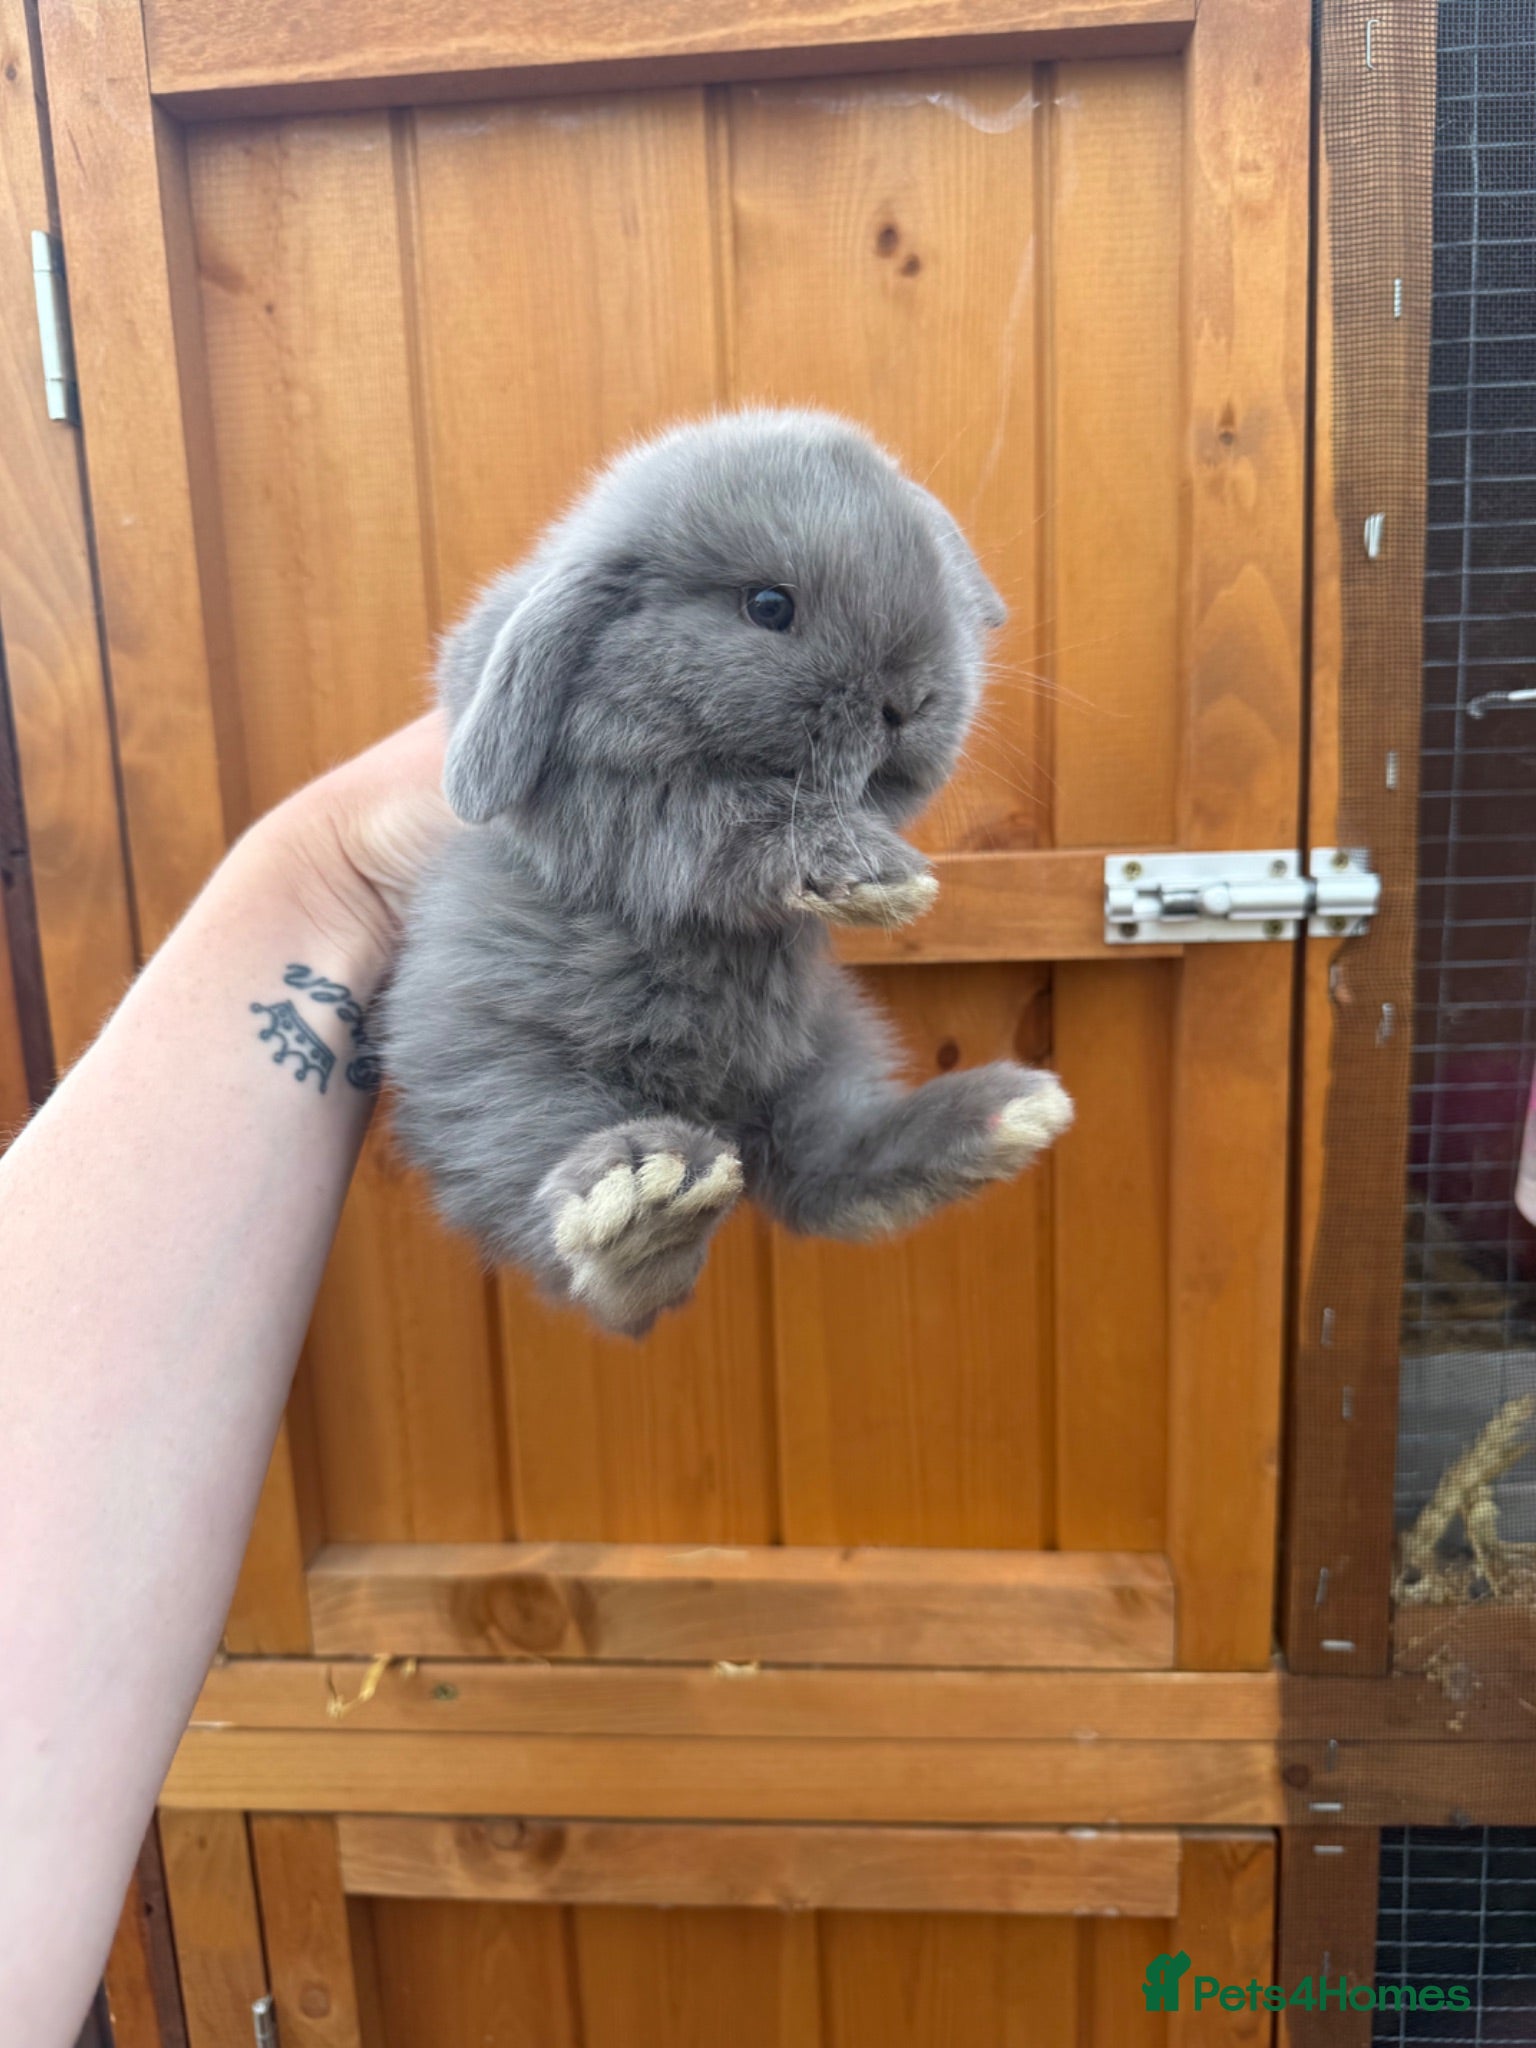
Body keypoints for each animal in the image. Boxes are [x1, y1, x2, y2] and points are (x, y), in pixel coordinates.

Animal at [382, 409, 1073, 1336]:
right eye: (768, 606)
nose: (911, 701)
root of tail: (723, 1112)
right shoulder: (630, 823)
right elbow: (723, 824)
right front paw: (876, 873)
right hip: (495, 1082)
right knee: (587, 1249)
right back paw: (646, 1195)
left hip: (826, 1041)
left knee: (819, 1168)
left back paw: (1000, 1115)